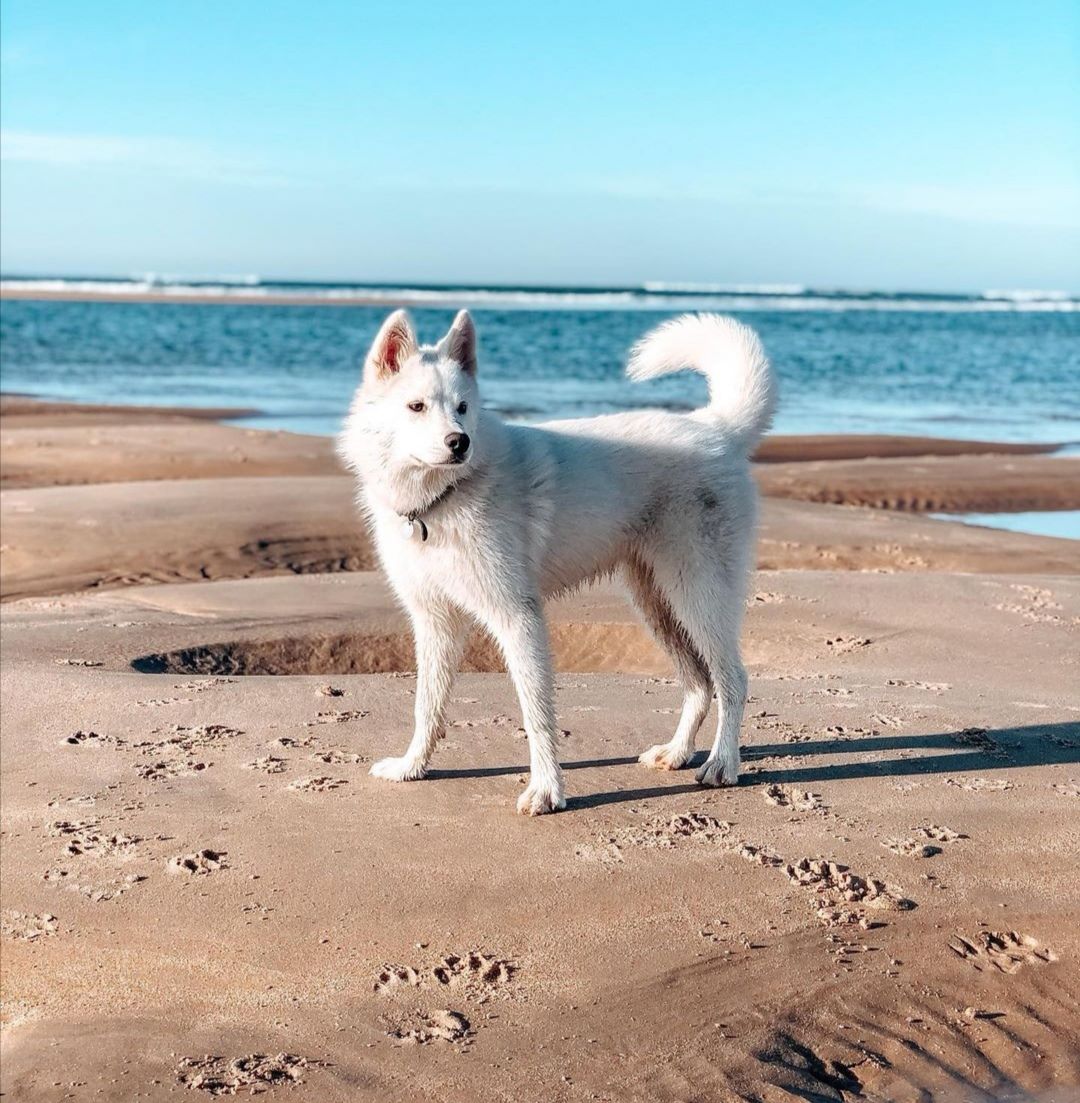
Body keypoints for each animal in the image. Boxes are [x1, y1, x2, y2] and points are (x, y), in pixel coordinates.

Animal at [339, 308, 776, 811]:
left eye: (463, 408)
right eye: (416, 407)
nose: (459, 443)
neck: (444, 498)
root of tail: (717, 428)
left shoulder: (517, 616)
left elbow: (537, 714)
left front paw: (547, 790)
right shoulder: (436, 620)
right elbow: (426, 705)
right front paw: (412, 767)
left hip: (698, 595)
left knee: (733, 680)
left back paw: (722, 764)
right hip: (657, 603)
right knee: (700, 684)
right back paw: (677, 753)